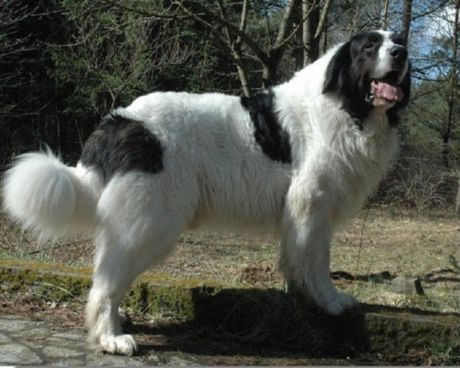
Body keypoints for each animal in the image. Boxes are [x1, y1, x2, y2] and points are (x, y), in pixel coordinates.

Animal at [3, 30, 410, 356]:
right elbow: (317, 261)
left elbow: (296, 260)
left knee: (106, 271)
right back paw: (111, 339)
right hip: (151, 223)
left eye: (397, 39)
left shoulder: (303, 213)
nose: (401, 52)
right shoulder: (313, 203)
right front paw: (329, 302)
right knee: (105, 283)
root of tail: (121, 121)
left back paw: (117, 325)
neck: (346, 105)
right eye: (370, 46)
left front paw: (299, 300)